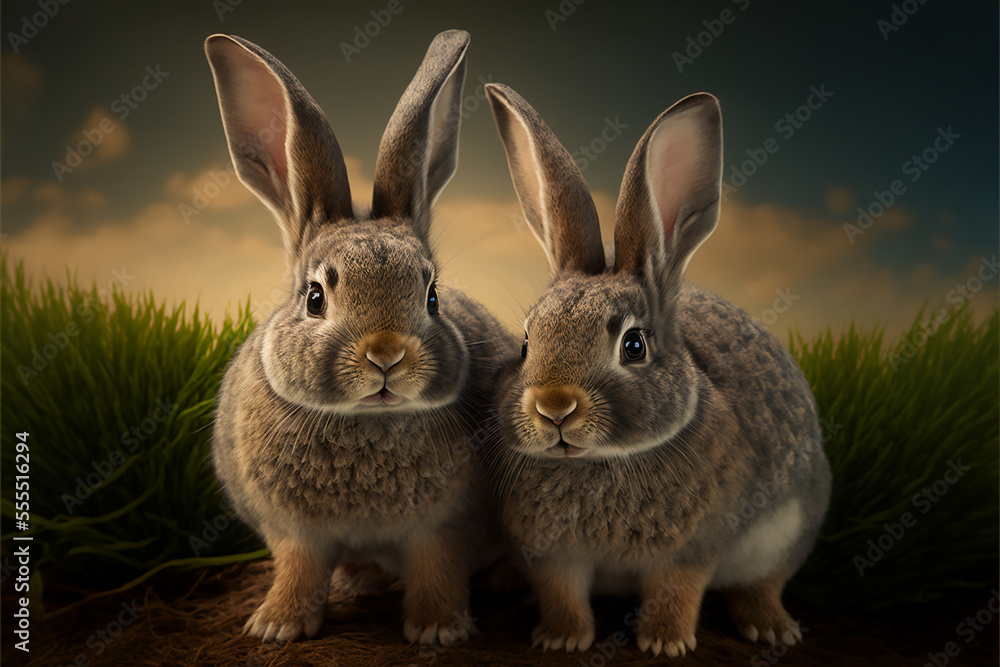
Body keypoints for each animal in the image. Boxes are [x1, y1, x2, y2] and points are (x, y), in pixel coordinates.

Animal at [205, 30, 516, 644]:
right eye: (314, 298)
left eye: (431, 296)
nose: (386, 355)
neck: (368, 420)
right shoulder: (295, 533)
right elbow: (298, 569)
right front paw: (277, 625)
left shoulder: (447, 527)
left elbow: (438, 569)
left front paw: (438, 629)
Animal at [482, 83, 832, 657]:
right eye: (528, 341)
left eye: (634, 345)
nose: (554, 408)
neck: (599, 462)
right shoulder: (552, 555)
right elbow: (561, 593)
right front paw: (562, 639)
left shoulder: (694, 548)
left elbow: (678, 589)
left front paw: (665, 643)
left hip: (789, 528)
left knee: (761, 584)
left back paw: (771, 627)